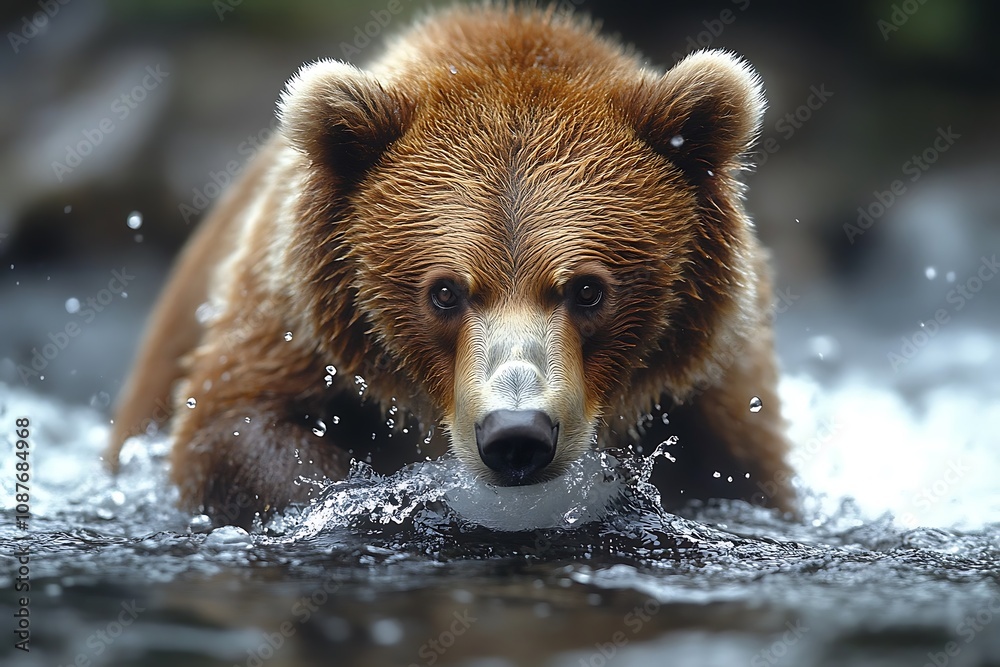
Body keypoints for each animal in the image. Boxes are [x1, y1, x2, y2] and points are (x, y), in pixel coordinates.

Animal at [106, 3, 794, 528]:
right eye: (444, 292)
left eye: (588, 290)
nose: (516, 433)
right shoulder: (295, 320)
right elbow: (228, 431)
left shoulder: (710, 382)